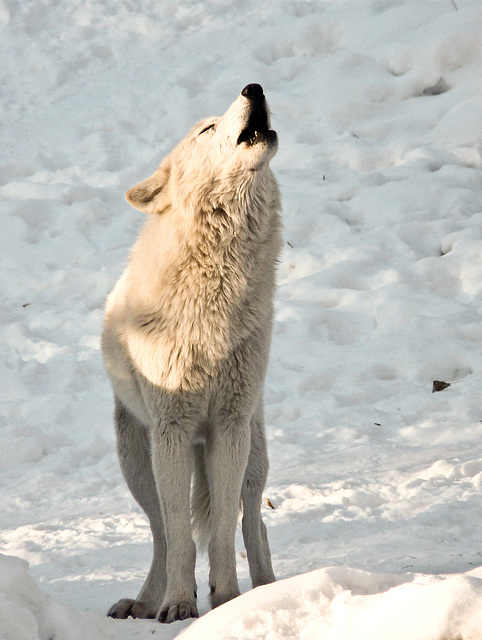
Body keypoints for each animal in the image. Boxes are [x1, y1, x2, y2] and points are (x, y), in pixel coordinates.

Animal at [102, 82, 282, 624]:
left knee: (253, 521)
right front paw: (180, 602)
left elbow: (222, 528)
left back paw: (269, 588)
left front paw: (228, 599)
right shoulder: (173, 430)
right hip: (140, 464)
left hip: (253, 451)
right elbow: (182, 535)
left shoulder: (229, 425)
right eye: (206, 130)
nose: (254, 87)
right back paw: (145, 601)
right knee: (162, 532)